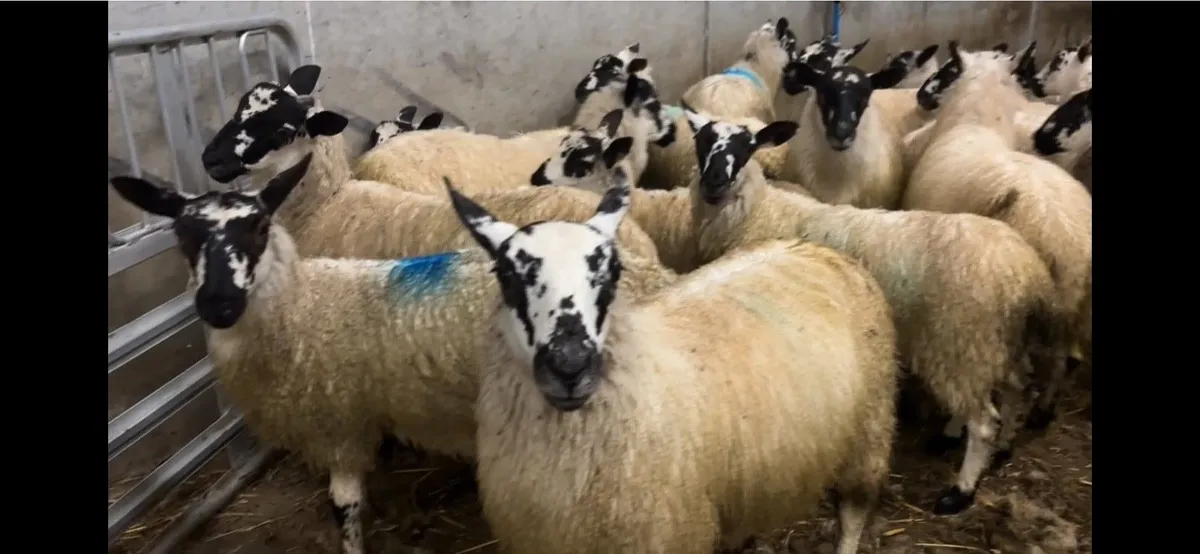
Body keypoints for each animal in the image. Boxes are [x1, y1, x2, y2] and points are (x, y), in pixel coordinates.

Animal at [109, 156, 677, 554]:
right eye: (183, 234)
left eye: (260, 227)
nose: (219, 303)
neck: (300, 307)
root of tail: (658, 274)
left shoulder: (336, 427)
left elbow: (344, 508)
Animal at [447, 165, 898, 554]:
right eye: (506, 275)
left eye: (612, 272)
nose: (570, 366)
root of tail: (815, 248)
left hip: (870, 427)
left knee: (853, 511)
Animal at [683, 109, 1067, 514]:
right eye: (702, 140)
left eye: (748, 147)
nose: (714, 181)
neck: (759, 212)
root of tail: (1027, 271)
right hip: (996, 342)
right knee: (1017, 388)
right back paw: (998, 446)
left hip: (962, 340)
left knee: (982, 422)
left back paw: (960, 490)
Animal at [905, 47, 1093, 428]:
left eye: (949, 70)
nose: (919, 97)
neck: (977, 122)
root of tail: (1062, 238)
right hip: (1066, 307)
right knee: (1058, 359)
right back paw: (1042, 411)